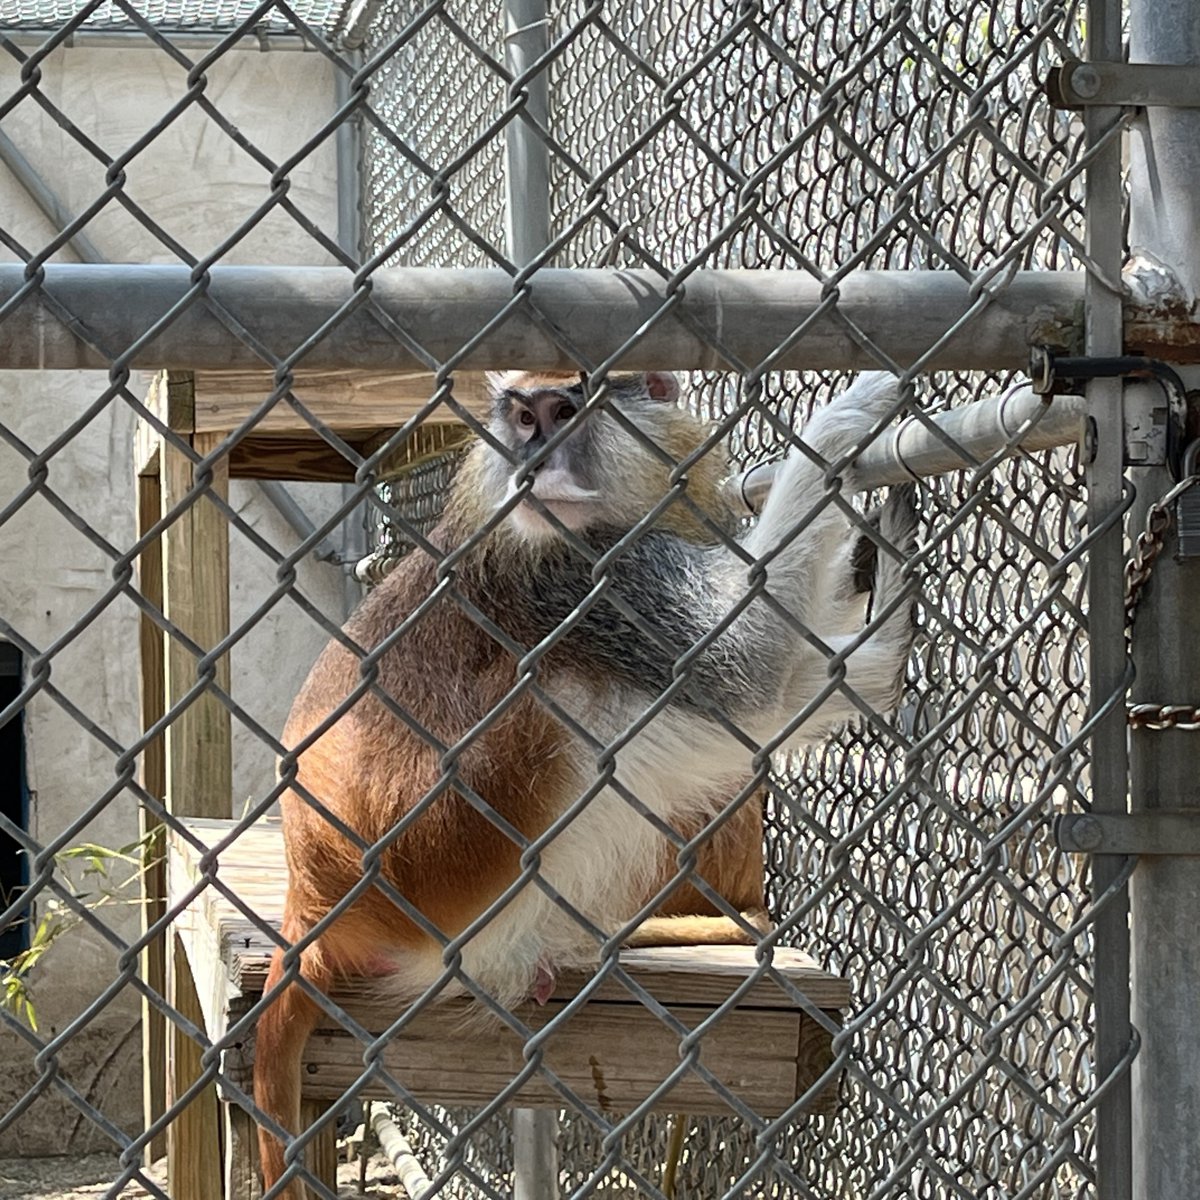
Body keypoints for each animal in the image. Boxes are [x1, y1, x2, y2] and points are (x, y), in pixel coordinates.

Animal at [253, 369, 917, 1197]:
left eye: (561, 413)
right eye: (522, 419)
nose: (534, 461)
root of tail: (311, 897)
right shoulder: (582, 576)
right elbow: (747, 661)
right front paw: (845, 424)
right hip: (447, 856)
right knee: (567, 700)